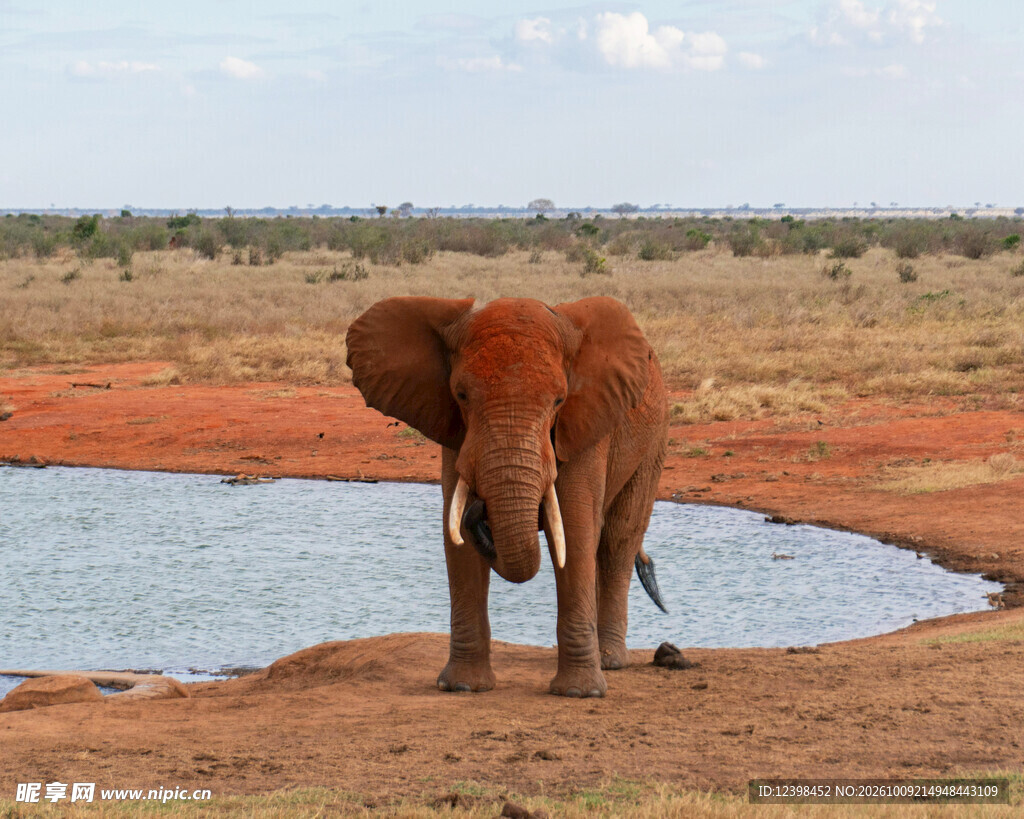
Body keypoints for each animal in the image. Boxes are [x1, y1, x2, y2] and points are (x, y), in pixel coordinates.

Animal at [345, 296, 668, 697]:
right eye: (461, 396)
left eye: (559, 400)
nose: (481, 509)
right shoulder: (457, 433)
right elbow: (456, 537)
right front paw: (463, 687)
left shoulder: (584, 424)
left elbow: (575, 528)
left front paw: (579, 693)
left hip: (653, 440)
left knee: (616, 541)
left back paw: (610, 660)